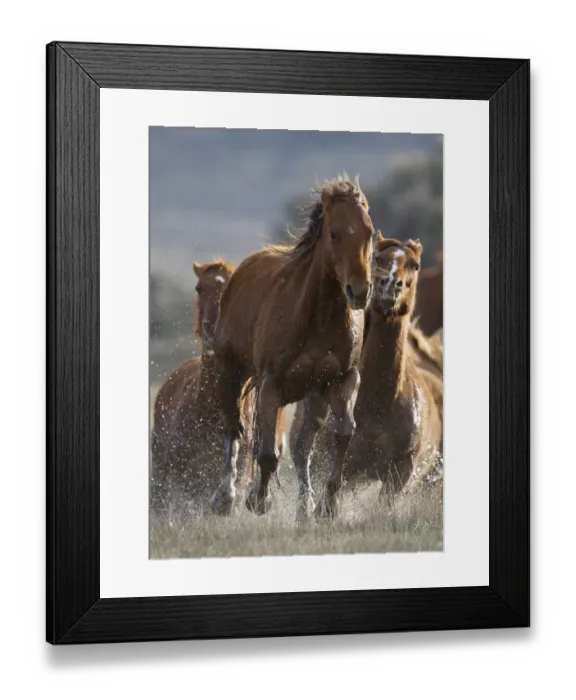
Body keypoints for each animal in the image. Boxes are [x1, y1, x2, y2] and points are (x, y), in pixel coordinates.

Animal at [210, 175, 376, 521]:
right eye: (334, 233)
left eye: (368, 231)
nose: (359, 292)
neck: (316, 317)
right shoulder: (270, 384)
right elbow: (267, 453)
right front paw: (259, 500)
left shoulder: (341, 380)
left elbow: (342, 433)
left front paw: (327, 505)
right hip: (229, 372)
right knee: (234, 429)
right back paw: (225, 497)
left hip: (314, 395)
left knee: (302, 447)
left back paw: (305, 506)